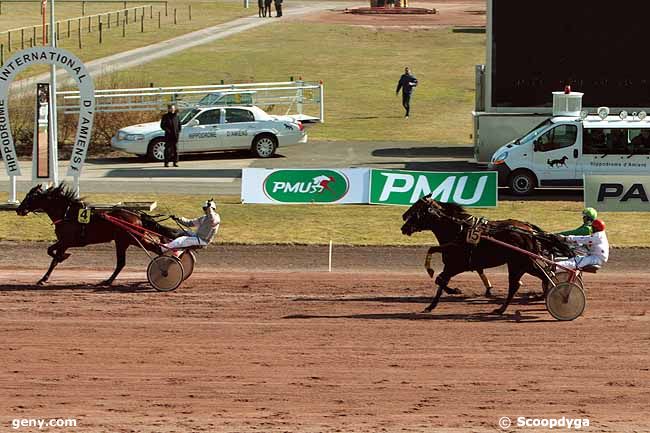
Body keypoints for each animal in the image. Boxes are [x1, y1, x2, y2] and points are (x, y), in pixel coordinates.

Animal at [16, 184, 181, 286]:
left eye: (30, 197)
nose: (19, 210)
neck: (67, 214)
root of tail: (137, 215)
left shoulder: (67, 241)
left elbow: (52, 255)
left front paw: (48, 273)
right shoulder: (64, 242)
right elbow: (52, 255)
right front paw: (54, 266)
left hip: (132, 239)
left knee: (154, 250)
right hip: (126, 241)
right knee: (124, 262)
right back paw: (109, 280)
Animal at [400, 195, 568, 314]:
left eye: (416, 209)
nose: (403, 226)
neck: (459, 229)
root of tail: (529, 229)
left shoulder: (457, 265)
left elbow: (440, 280)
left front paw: (446, 296)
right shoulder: (452, 264)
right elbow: (439, 277)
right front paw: (436, 302)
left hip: (518, 262)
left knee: (518, 284)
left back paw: (502, 309)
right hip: (526, 263)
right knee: (543, 276)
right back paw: (543, 296)